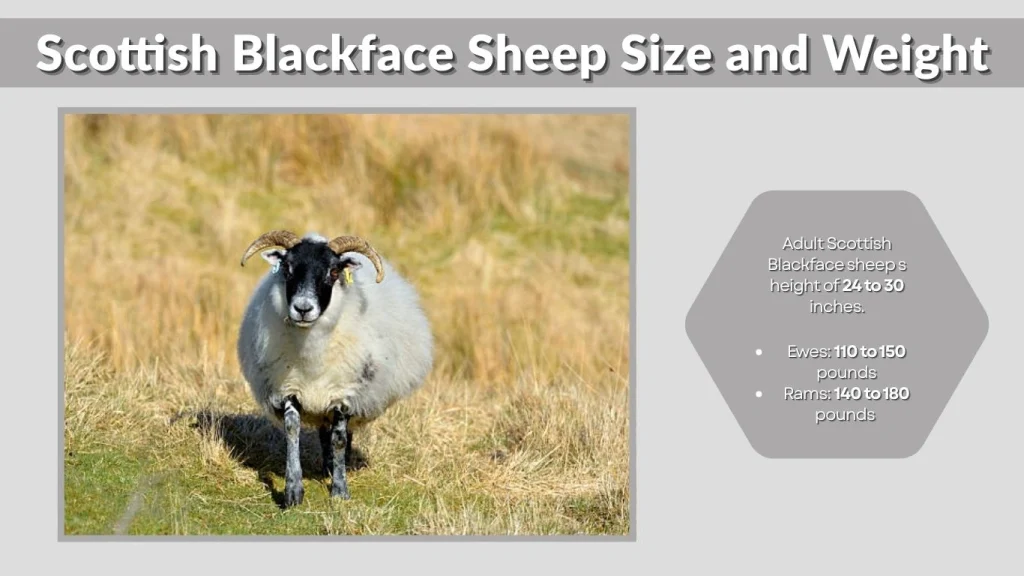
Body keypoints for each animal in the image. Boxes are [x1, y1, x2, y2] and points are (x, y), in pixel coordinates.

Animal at [236, 229, 433, 507]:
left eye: (333, 272)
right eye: (287, 268)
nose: (303, 309)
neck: (311, 353)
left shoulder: (344, 394)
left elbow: (339, 439)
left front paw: (340, 490)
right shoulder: (289, 389)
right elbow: (292, 431)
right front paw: (293, 491)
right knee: (322, 432)